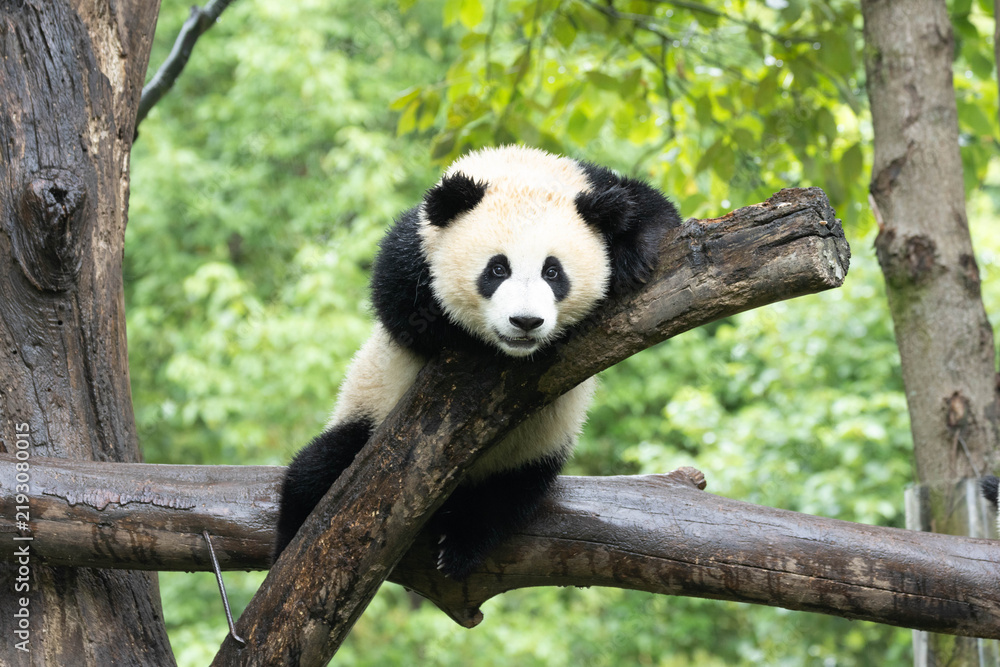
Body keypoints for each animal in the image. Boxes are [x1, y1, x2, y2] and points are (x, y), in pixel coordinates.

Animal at [274, 145, 681, 579]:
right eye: (497, 268)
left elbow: (655, 211)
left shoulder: (597, 184)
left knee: (503, 500)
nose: (525, 322)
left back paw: (459, 545)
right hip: (367, 421)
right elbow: (399, 304)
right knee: (318, 472)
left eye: (553, 272)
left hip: (529, 453)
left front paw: (631, 257)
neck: (521, 173)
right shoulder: (417, 238)